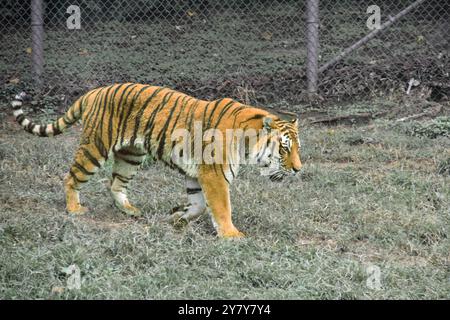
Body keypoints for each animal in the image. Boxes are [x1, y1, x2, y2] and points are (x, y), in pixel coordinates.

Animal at [11, 84, 302, 239]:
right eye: (284, 149)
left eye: (298, 148)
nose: (299, 170)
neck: (247, 143)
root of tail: (95, 91)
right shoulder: (214, 175)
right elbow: (221, 208)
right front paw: (231, 235)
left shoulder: (197, 175)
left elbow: (198, 205)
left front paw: (177, 219)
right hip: (95, 147)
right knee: (71, 177)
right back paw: (74, 209)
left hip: (131, 156)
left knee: (115, 184)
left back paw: (130, 210)